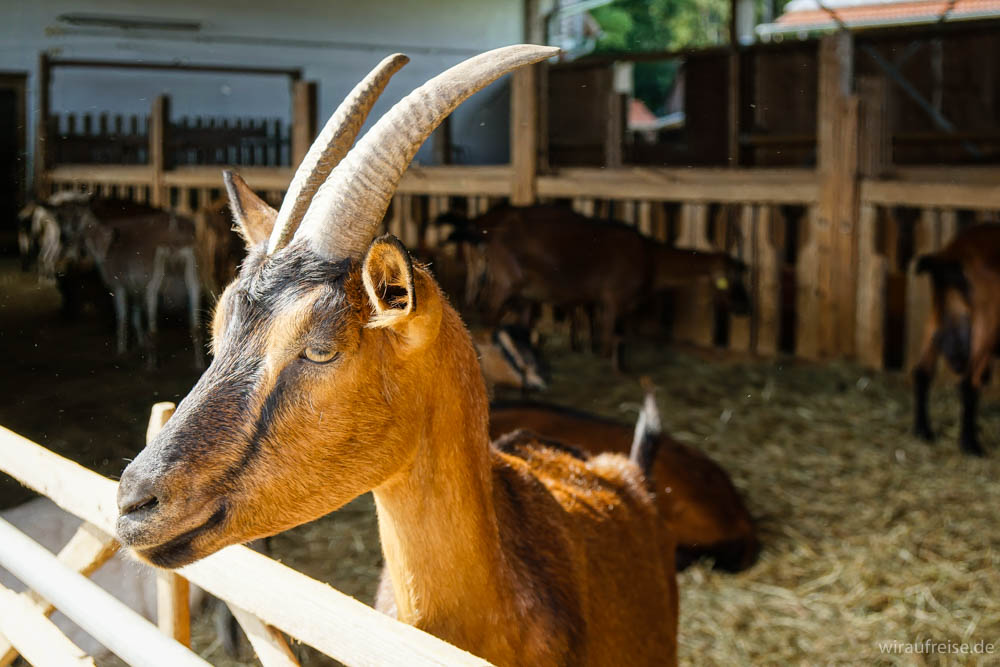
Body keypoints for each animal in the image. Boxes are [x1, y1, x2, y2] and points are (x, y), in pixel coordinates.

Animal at [912, 222, 1000, 456]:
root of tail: (952, 253)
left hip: (936, 320)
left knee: (922, 372)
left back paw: (923, 430)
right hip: (987, 323)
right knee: (968, 384)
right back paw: (970, 445)